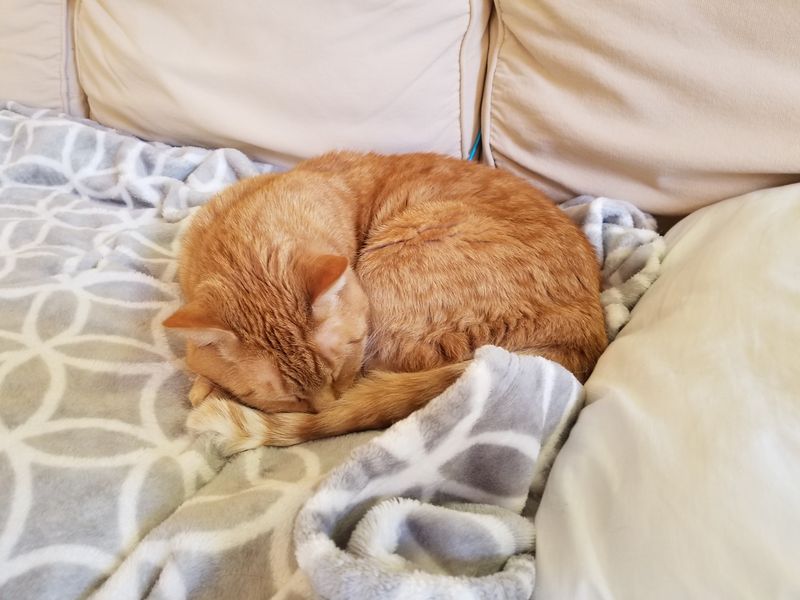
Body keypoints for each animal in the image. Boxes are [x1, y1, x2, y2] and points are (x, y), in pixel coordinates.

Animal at [162, 151, 608, 454]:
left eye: (341, 369)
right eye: (287, 399)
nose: (321, 410)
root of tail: (578, 340)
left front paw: (205, 388)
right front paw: (203, 380)